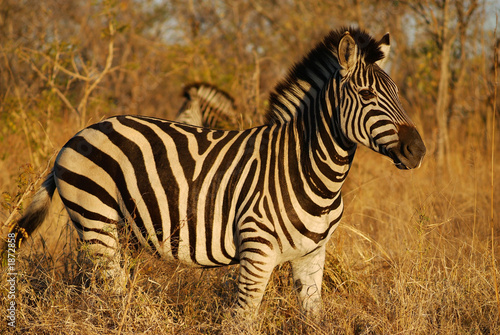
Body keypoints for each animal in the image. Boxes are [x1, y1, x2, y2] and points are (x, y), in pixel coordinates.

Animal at [10, 26, 426, 318]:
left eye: (398, 93)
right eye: (367, 96)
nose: (418, 150)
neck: (313, 172)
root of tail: (78, 135)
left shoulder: (313, 255)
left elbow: (314, 318)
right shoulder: (257, 253)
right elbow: (241, 320)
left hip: (121, 231)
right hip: (96, 221)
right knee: (106, 293)